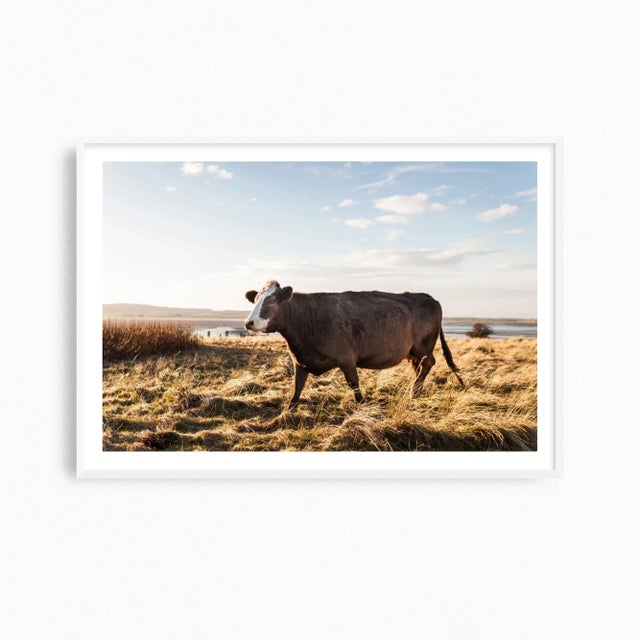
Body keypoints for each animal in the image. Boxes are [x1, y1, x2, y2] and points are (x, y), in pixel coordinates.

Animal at [244, 280, 464, 409]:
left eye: (271, 301)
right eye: (255, 300)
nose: (248, 322)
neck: (307, 319)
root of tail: (429, 297)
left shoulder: (347, 359)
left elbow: (354, 385)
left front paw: (362, 407)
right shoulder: (300, 360)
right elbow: (297, 388)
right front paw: (289, 410)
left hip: (423, 347)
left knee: (427, 364)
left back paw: (413, 393)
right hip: (411, 352)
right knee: (418, 368)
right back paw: (416, 391)